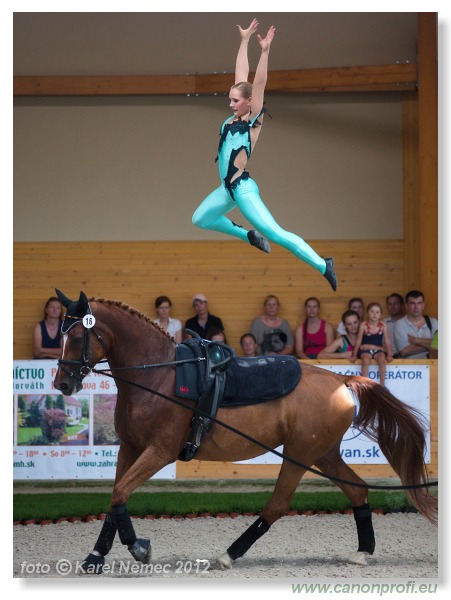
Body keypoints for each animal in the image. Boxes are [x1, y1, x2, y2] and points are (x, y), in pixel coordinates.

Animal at [53, 292, 438, 576]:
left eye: (77, 335)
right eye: (61, 334)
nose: (62, 384)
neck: (158, 375)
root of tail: (339, 380)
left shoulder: (159, 451)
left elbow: (120, 492)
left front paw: (138, 547)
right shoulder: (130, 448)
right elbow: (115, 497)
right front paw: (95, 556)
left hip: (299, 455)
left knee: (278, 504)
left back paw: (229, 554)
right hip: (324, 455)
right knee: (356, 490)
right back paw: (362, 551)